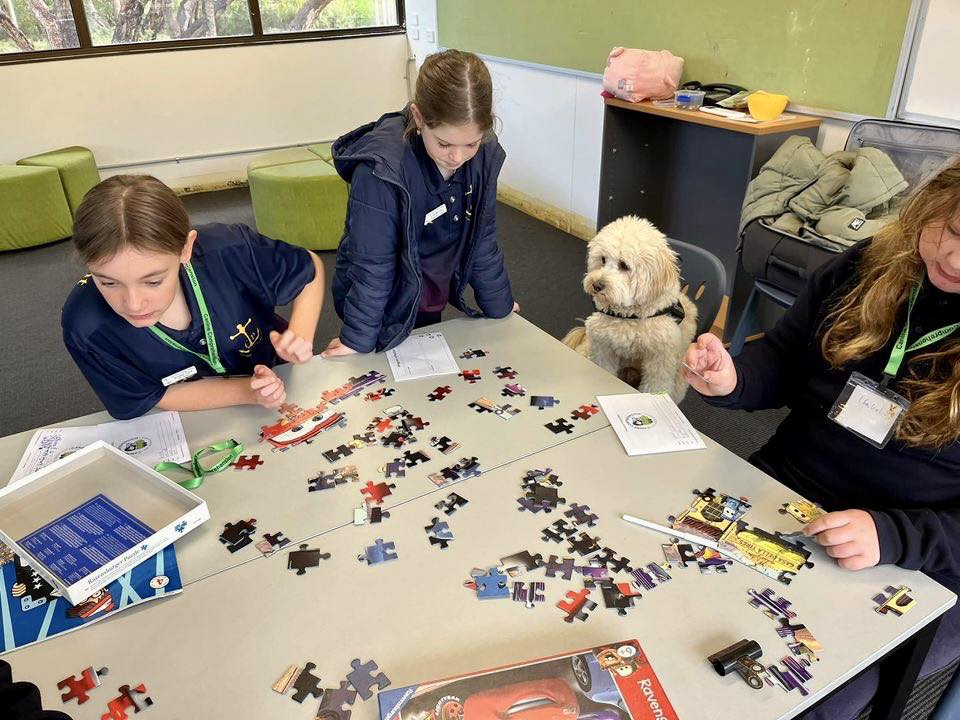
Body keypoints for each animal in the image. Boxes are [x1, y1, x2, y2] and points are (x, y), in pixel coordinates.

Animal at [564, 217, 696, 402]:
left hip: (679, 381)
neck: (630, 316)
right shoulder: (603, 347)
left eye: (624, 265)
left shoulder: (660, 360)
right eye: (603, 259)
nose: (596, 285)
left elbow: (656, 385)